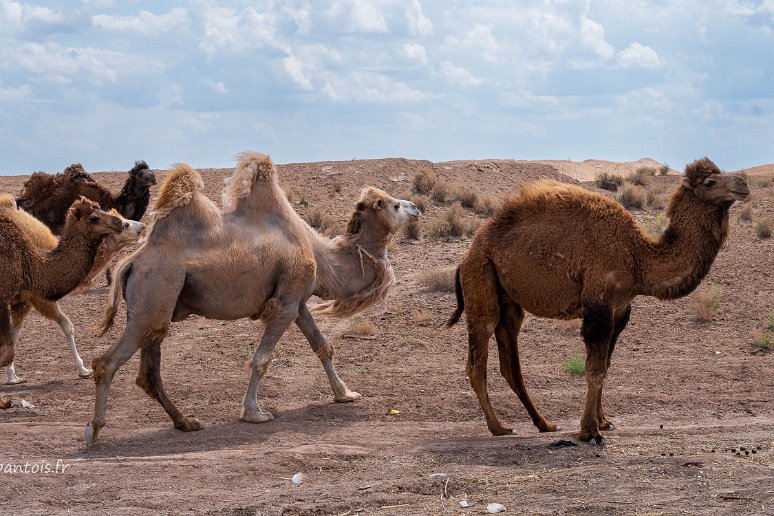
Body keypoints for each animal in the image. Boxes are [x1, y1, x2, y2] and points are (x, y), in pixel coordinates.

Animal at [0, 196, 145, 384]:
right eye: (93, 218)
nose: (141, 226)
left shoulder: (21, 299)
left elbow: (13, 337)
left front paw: (13, 376)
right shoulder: (36, 298)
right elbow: (66, 325)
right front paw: (83, 369)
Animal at [87, 152, 422, 444]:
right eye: (394, 205)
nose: (416, 208)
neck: (321, 255)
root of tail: (133, 261)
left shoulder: (298, 301)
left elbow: (323, 346)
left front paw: (345, 394)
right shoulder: (285, 303)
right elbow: (262, 358)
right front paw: (254, 413)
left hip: (159, 305)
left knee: (149, 372)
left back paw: (186, 422)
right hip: (155, 290)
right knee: (107, 361)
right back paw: (94, 431)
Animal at [448, 157, 752, 444]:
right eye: (710, 182)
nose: (743, 183)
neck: (638, 258)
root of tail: (467, 255)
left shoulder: (620, 310)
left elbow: (605, 366)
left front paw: (603, 421)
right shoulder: (599, 307)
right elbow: (594, 370)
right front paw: (589, 431)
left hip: (509, 302)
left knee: (511, 365)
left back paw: (545, 424)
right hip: (481, 281)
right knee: (477, 361)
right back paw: (498, 427)